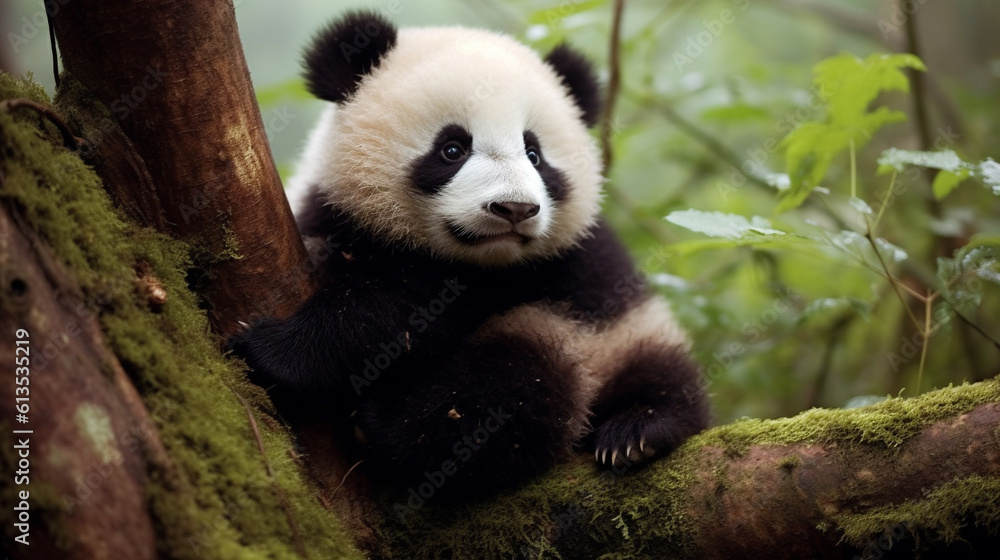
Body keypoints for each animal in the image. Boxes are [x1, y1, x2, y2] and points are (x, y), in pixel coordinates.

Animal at [233, 10, 710, 496]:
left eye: (534, 154)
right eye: (452, 149)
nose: (514, 208)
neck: (477, 258)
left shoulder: (546, 270)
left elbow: (393, 314)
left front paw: (270, 349)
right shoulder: (331, 213)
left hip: (607, 339)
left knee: (515, 389)